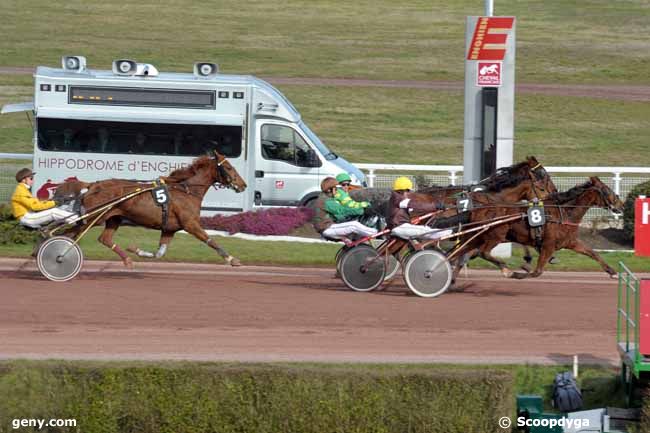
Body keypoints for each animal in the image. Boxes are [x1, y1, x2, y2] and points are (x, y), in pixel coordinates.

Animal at [60, 151, 246, 266]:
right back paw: (60, 256)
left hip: (113, 217)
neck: (187, 191)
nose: (243, 185)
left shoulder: (169, 229)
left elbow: (159, 253)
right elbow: (211, 241)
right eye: (229, 167)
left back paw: (127, 260)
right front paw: (233, 260)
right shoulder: (190, 224)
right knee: (68, 234)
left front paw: (134, 249)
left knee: (103, 239)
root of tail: (92, 186)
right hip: (93, 218)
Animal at [450, 176, 624, 280]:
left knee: (461, 253)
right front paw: (520, 271)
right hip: (495, 236)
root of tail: (477, 209)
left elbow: (593, 253)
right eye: (607, 190)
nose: (621, 205)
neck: (564, 212)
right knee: (481, 252)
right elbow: (537, 272)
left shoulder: (570, 242)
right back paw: (507, 270)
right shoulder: (548, 245)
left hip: (477, 237)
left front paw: (613, 272)